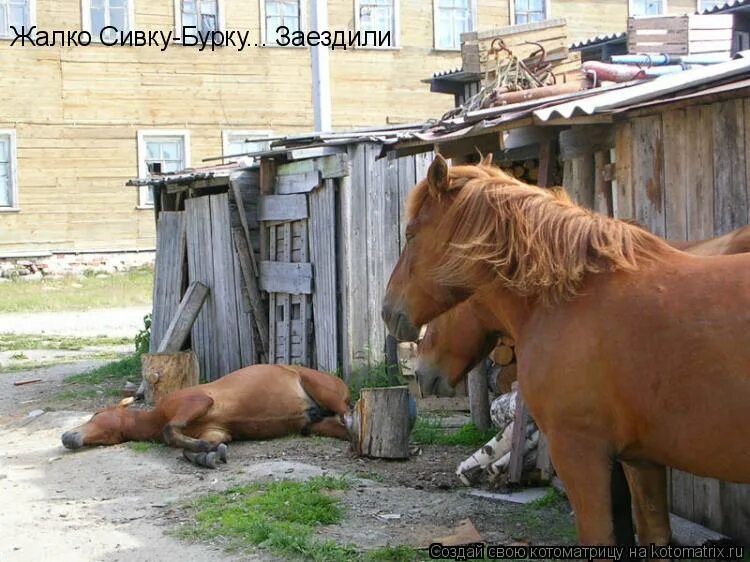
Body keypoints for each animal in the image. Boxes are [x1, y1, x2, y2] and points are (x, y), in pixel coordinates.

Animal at [61, 360, 352, 466]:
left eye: (96, 414)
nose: (66, 438)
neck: (155, 417)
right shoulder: (217, 431)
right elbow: (192, 446)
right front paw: (206, 454)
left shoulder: (198, 401)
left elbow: (170, 432)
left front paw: (202, 450)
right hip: (316, 425)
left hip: (324, 392)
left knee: (347, 414)